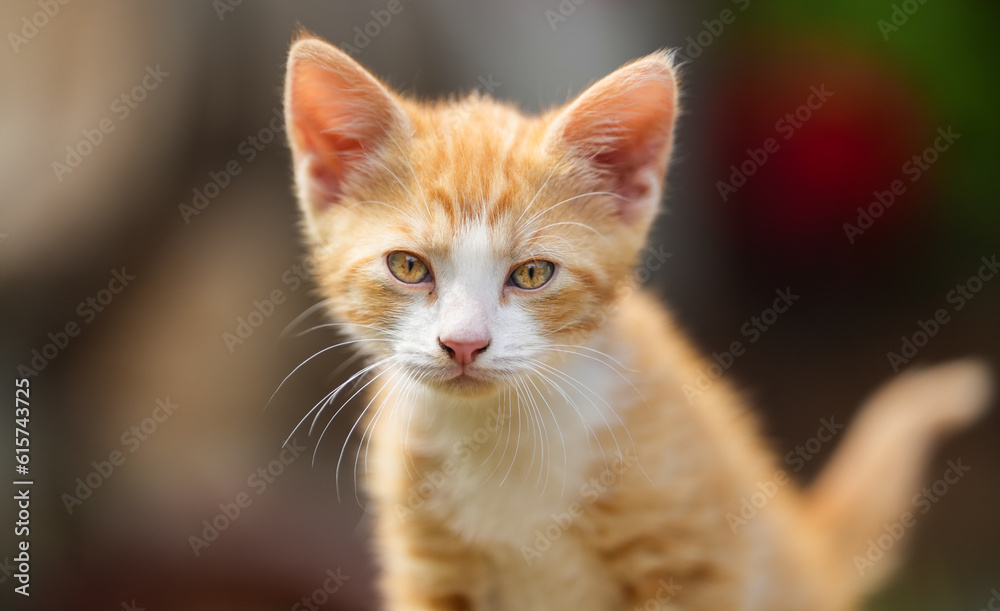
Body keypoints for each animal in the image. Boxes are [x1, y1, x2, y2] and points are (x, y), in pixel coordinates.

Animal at [282, 34, 992, 611]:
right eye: (408, 266)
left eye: (532, 274)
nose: (463, 343)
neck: (501, 433)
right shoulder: (428, 570)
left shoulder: (697, 557)